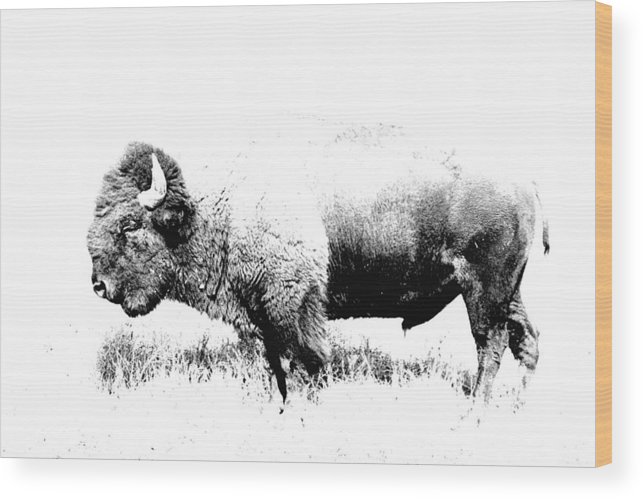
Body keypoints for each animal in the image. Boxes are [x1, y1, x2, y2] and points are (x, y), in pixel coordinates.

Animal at [87, 141, 548, 407]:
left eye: (129, 226)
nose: (99, 285)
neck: (217, 210)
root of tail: (526, 184)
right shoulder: (263, 315)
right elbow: (277, 365)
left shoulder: (291, 305)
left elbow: (301, 360)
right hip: (509, 292)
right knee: (526, 341)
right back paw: (518, 404)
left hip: (484, 290)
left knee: (491, 344)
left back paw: (476, 410)